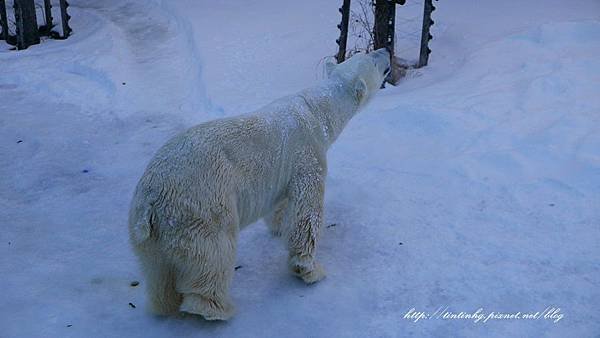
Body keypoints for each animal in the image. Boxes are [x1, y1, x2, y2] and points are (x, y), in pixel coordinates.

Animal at [129, 47, 392, 320]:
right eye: (373, 58)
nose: (385, 49)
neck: (316, 110)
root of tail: (150, 198)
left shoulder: (284, 172)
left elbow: (283, 203)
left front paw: (279, 228)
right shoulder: (308, 154)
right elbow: (307, 212)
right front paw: (310, 270)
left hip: (152, 234)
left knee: (158, 272)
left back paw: (164, 303)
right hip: (200, 207)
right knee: (215, 255)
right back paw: (217, 309)